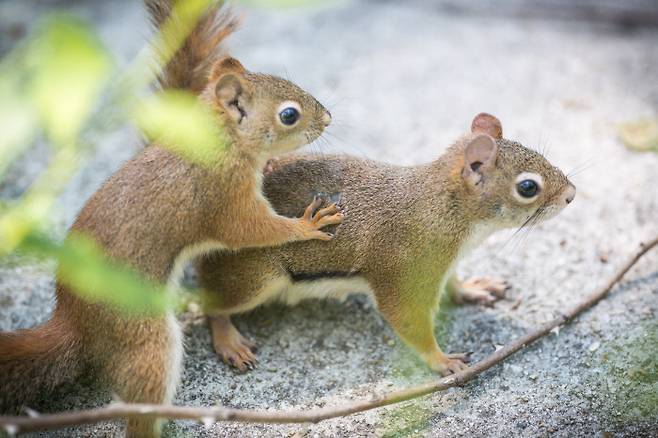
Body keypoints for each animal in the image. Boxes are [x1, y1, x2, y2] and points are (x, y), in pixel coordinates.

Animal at [0, 1, 340, 436]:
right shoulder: (223, 197)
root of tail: (74, 322)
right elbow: (251, 229)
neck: (218, 139)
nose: (328, 117)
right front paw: (307, 224)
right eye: (289, 115)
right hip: (145, 336)